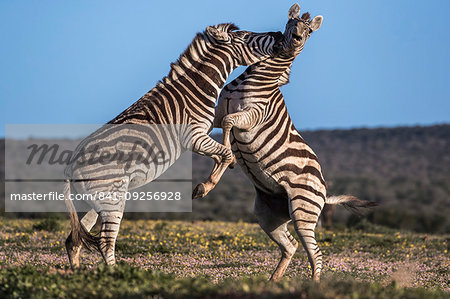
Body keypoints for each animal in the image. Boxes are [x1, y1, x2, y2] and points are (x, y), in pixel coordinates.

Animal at [63, 22, 284, 268]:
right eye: (246, 36)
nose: (279, 34)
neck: (197, 88)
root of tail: (71, 167)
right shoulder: (194, 137)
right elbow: (225, 153)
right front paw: (205, 186)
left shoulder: (204, 133)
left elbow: (224, 149)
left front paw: (223, 169)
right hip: (111, 197)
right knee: (104, 243)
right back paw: (114, 274)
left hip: (93, 201)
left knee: (74, 240)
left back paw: (79, 275)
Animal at [206, 3, 378, 282]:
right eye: (290, 25)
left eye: (309, 31)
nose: (296, 39)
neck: (261, 77)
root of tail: (324, 190)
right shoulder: (219, 113)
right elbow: (206, 128)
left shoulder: (252, 115)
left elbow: (230, 125)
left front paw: (225, 163)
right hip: (269, 215)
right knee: (291, 245)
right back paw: (273, 282)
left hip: (303, 211)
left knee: (315, 252)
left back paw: (312, 286)